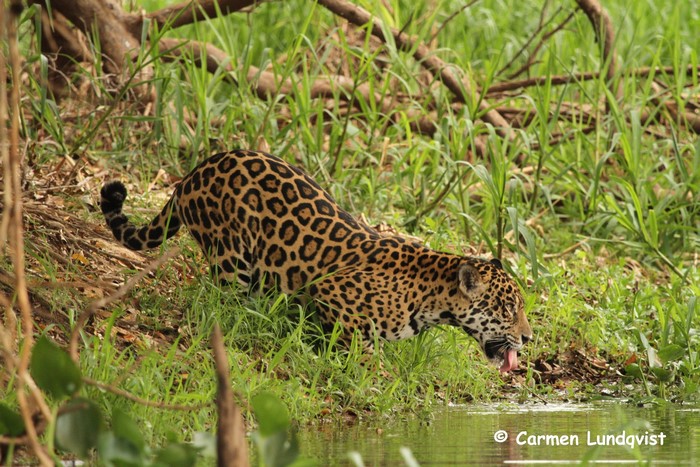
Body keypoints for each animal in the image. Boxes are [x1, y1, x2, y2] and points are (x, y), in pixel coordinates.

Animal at [100, 149, 532, 372]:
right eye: (508, 308)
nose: (528, 338)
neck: (431, 300)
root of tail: (193, 173)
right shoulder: (331, 290)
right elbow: (361, 347)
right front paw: (369, 372)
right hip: (230, 255)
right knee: (221, 302)